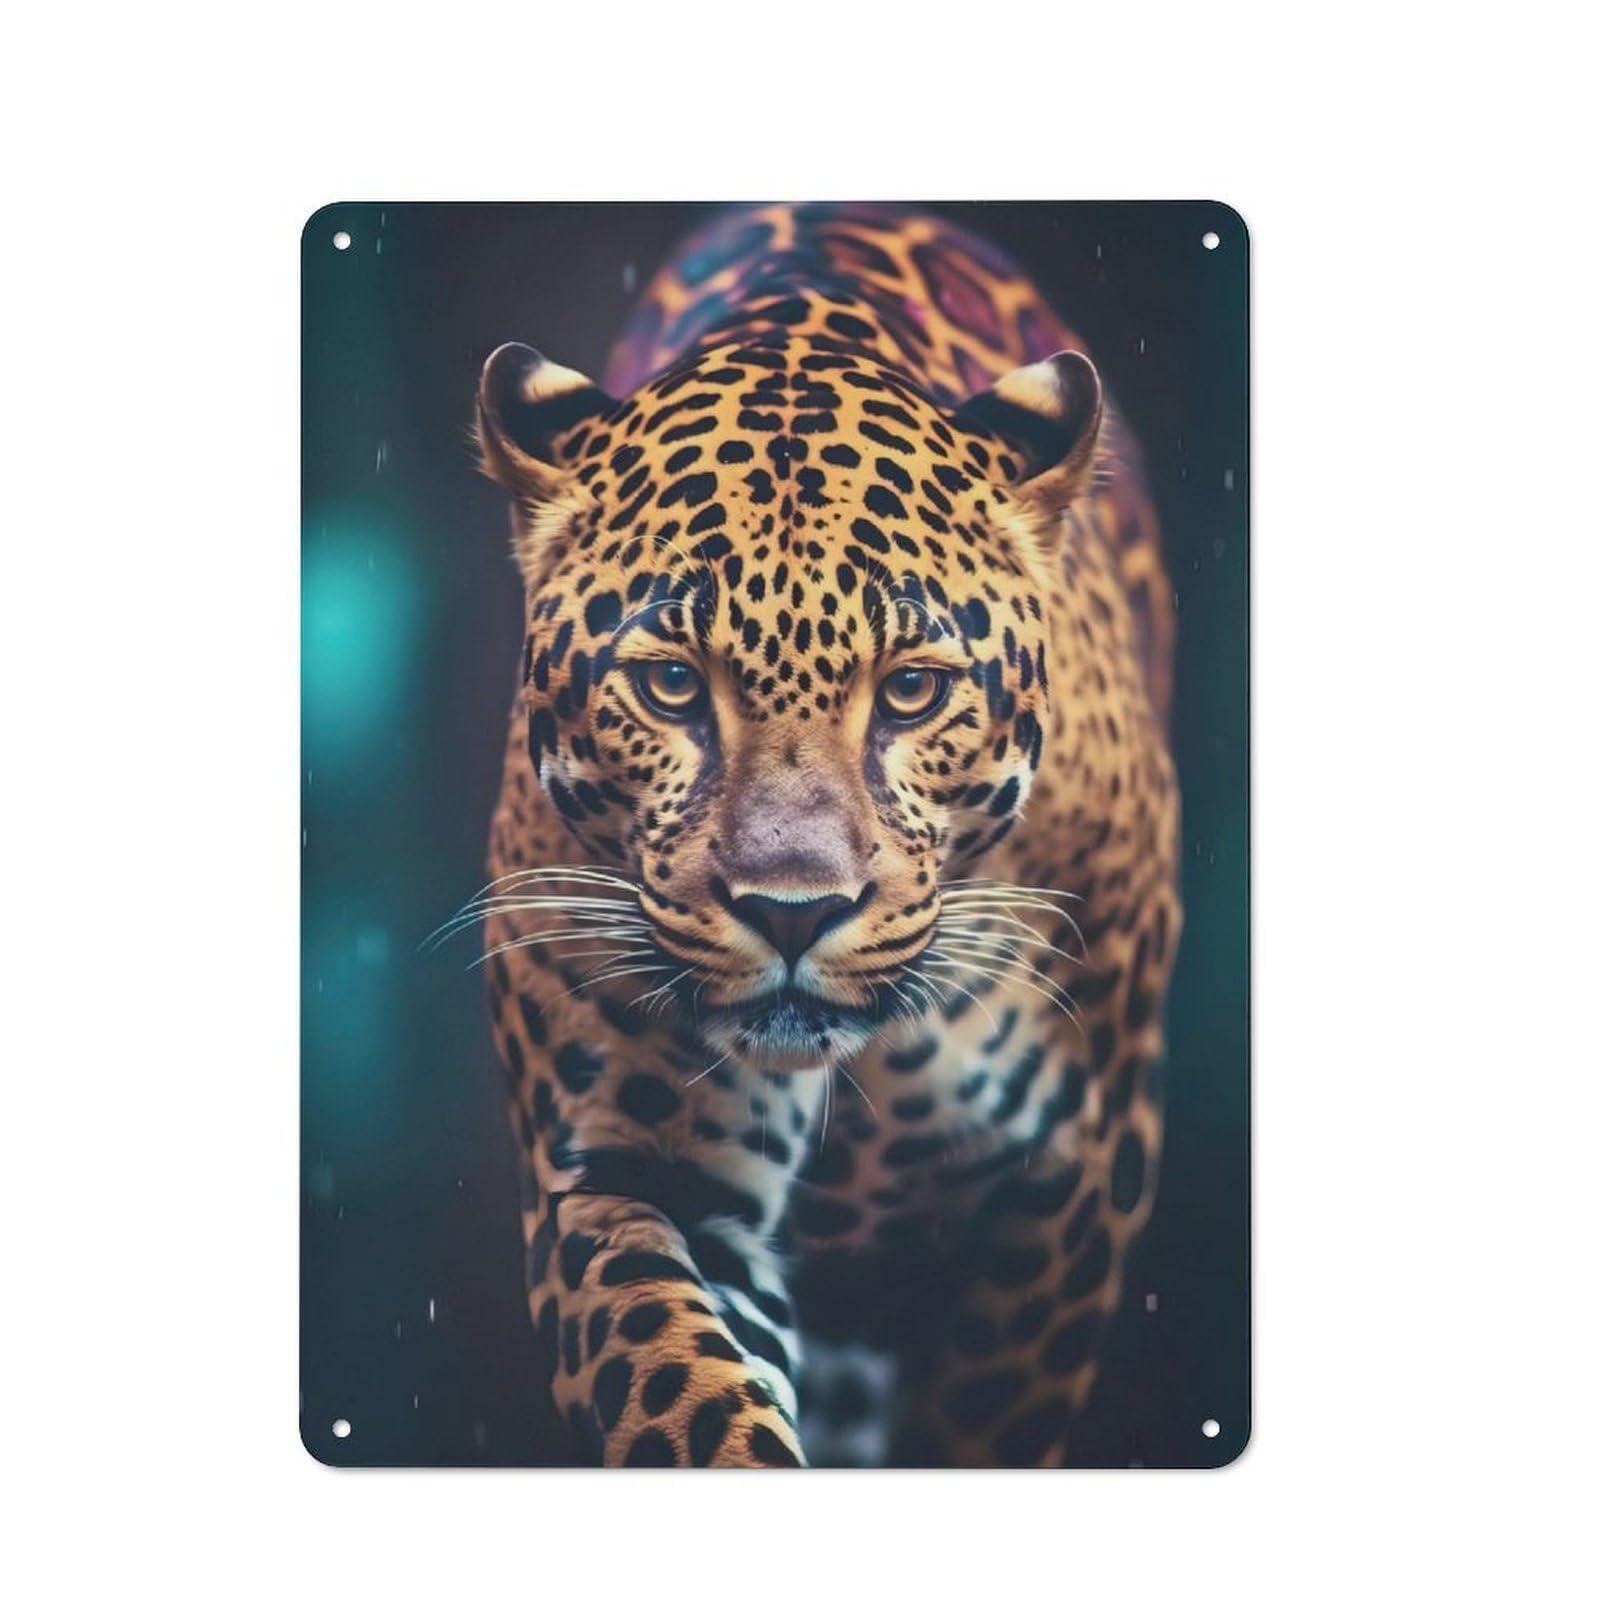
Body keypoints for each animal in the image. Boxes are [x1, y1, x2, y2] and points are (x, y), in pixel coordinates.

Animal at [465, 202, 1180, 1466]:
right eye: (668, 684)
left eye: (910, 691)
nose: (792, 915)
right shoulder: (624, 1170)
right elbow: (693, 1399)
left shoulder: (1073, 1181)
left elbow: (980, 1430)